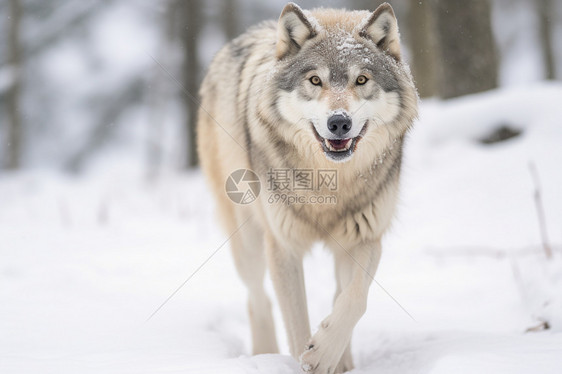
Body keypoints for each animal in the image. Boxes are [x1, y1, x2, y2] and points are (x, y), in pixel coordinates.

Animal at [197, 2, 416, 372]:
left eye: (361, 79)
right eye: (315, 80)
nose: (339, 122)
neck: (330, 181)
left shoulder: (366, 237)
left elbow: (354, 299)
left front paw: (326, 353)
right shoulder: (283, 246)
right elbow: (296, 322)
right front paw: (307, 356)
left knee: (337, 294)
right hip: (248, 242)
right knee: (257, 298)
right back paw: (263, 354)